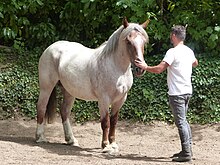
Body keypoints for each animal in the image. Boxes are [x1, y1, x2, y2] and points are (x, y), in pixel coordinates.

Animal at [35, 17, 150, 153]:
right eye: (128, 41)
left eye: (144, 42)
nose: (140, 68)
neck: (115, 67)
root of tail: (50, 48)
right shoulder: (104, 100)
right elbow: (105, 122)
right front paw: (106, 146)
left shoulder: (120, 99)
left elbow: (114, 121)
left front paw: (113, 144)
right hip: (46, 88)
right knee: (41, 107)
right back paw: (40, 137)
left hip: (69, 91)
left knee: (64, 112)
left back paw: (71, 140)